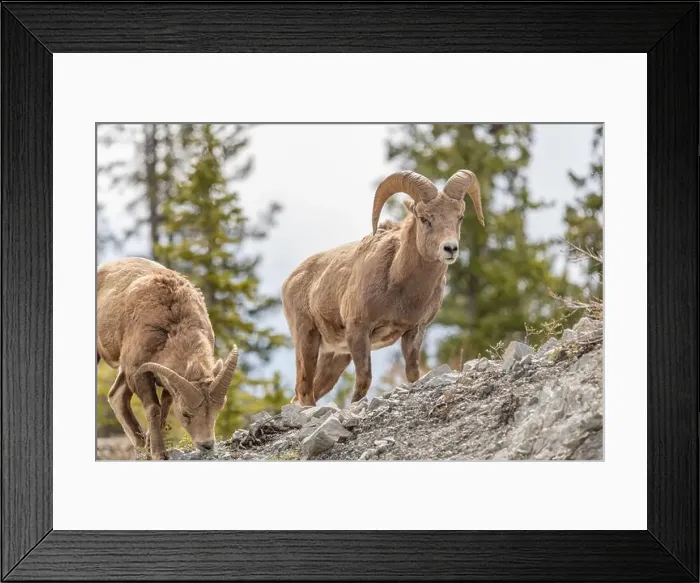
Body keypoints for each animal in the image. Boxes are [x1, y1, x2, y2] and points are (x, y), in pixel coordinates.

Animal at [97, 257, 239, 459]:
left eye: (217, 410)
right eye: (186, 414)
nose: (207, 445)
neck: (172, 325)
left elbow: (164, 408)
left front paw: (151, 447)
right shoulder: (138, 372)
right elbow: (153, 409)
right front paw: (158, 453)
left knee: (116, 396)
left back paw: (141, 446)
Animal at [282, 170, 484, 406]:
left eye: (459, 217)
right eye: (424, 218)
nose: (450, 248)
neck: (400, 287)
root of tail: (290, 280)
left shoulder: (414, 332)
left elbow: (413, 374)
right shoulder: (359, 331)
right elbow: (363, 382)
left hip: (335, 357)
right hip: (307, 339)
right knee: (304, 391)